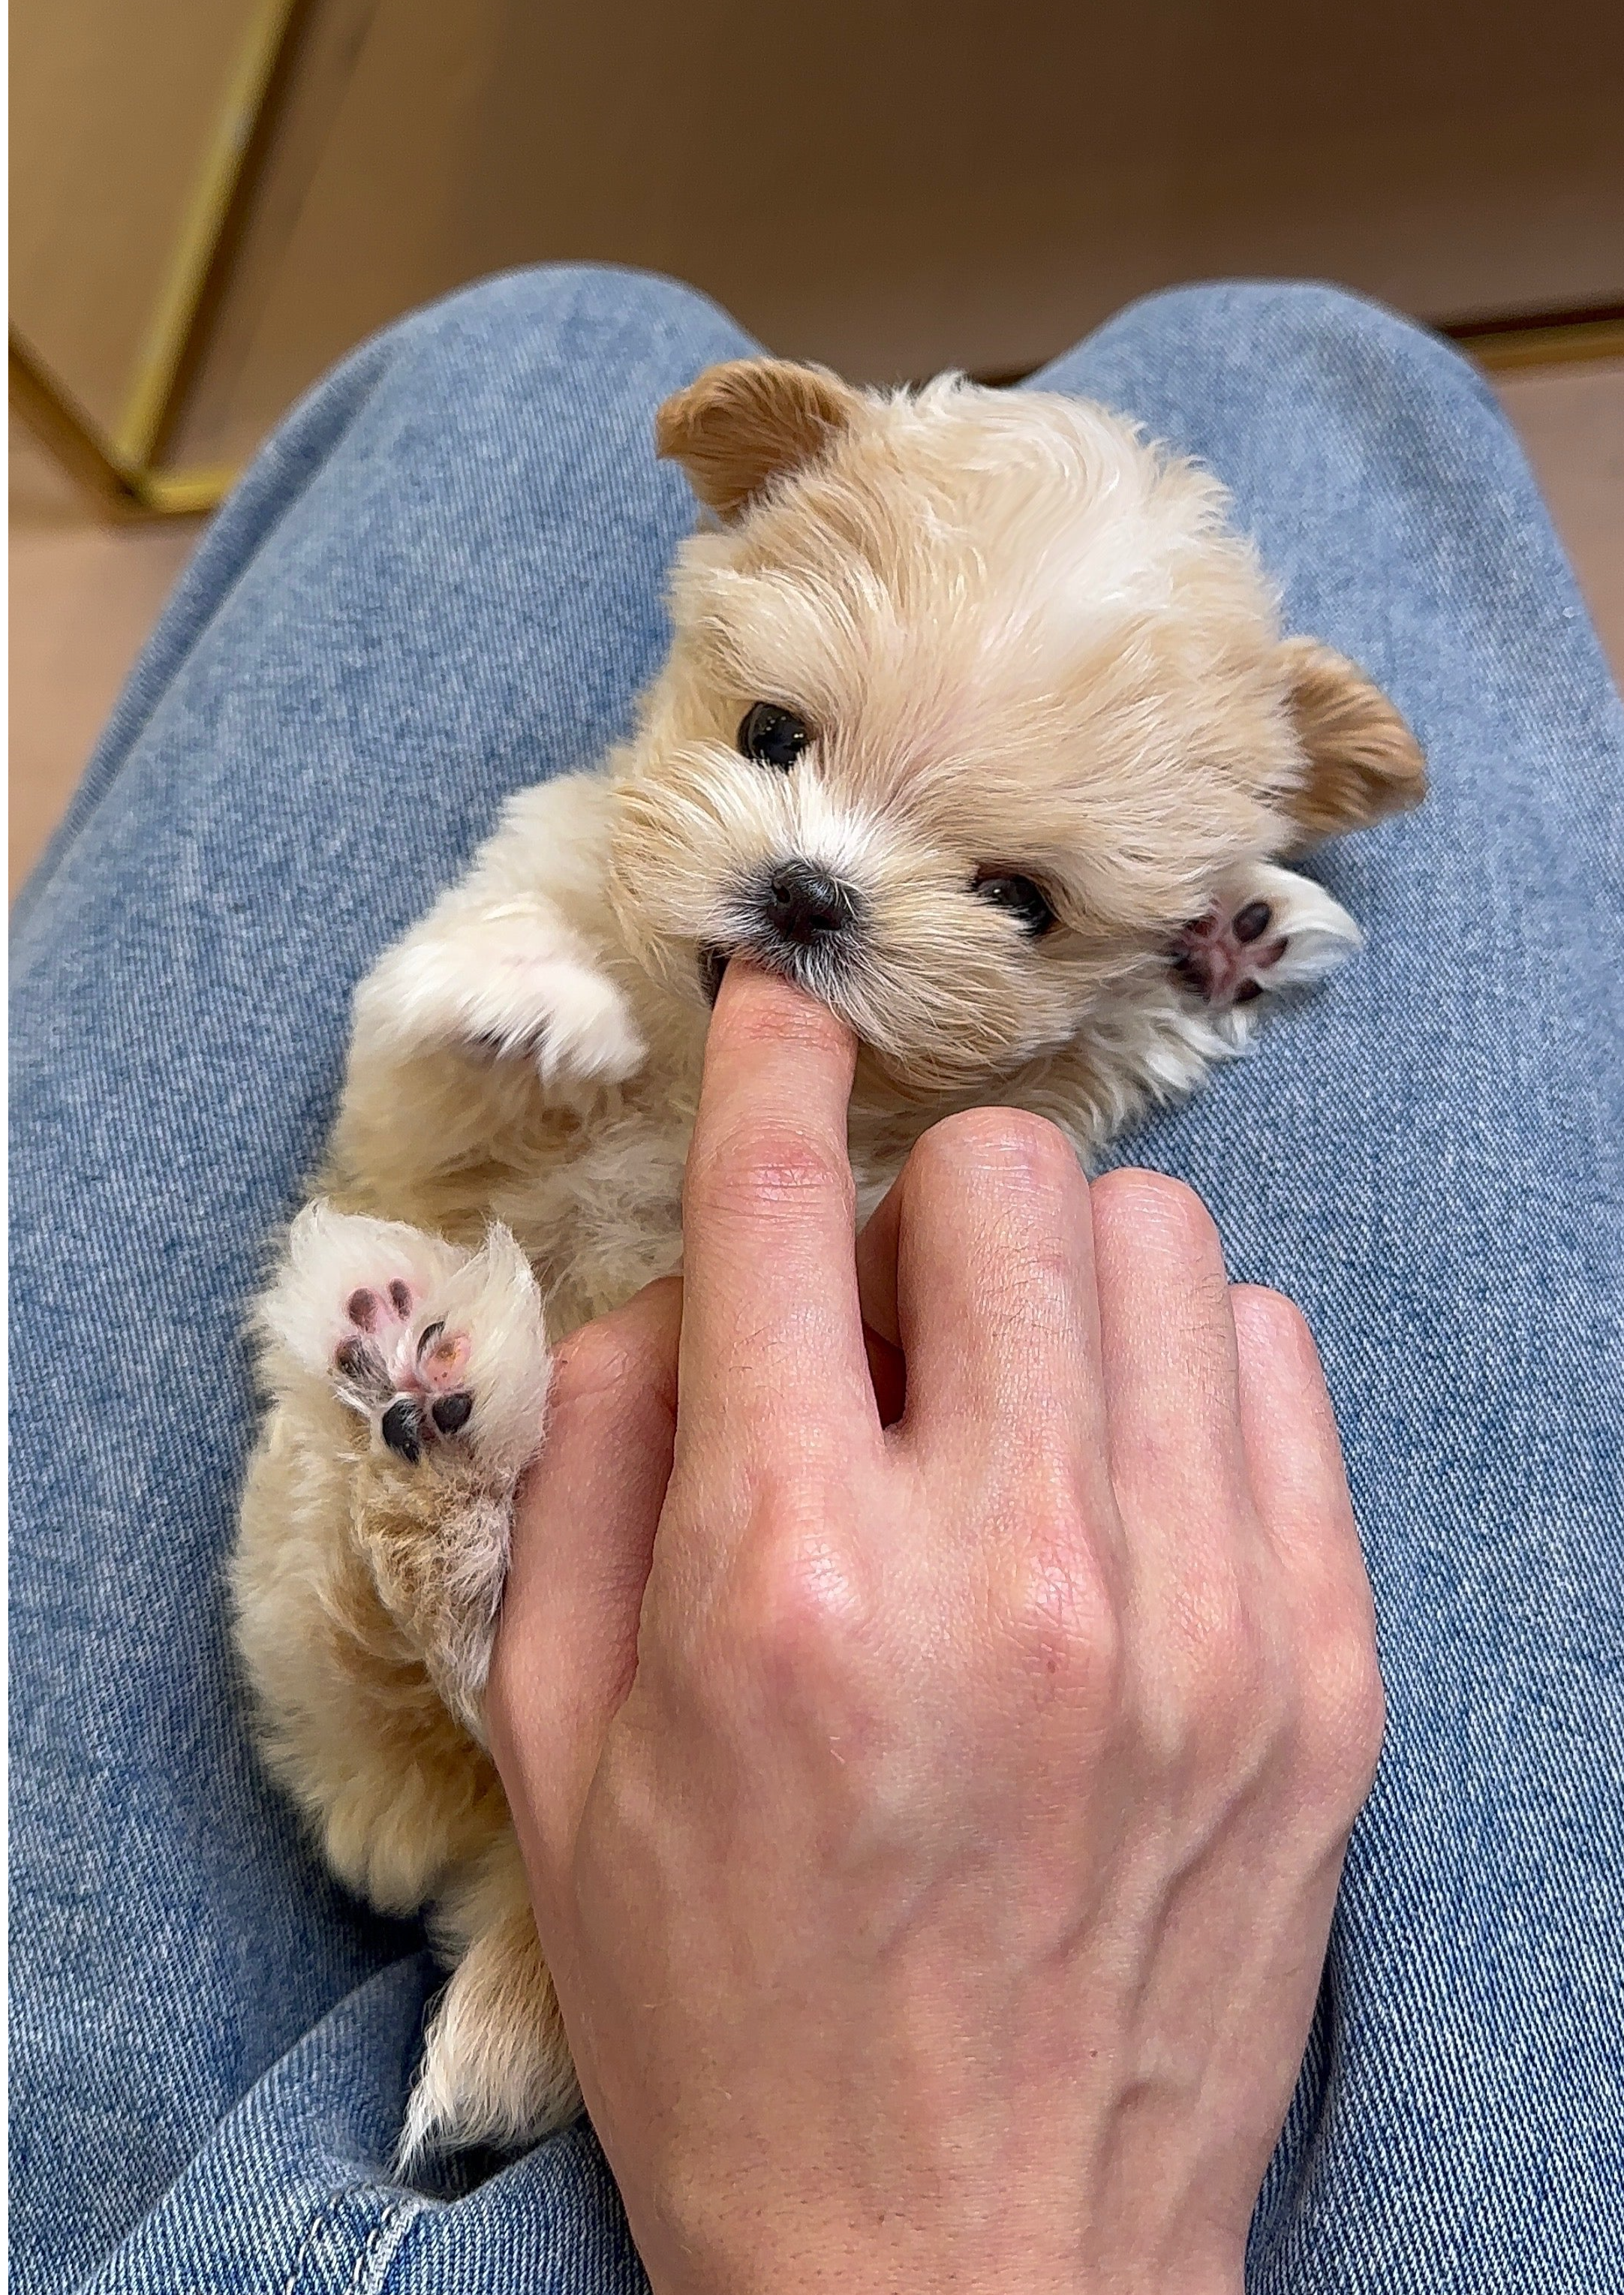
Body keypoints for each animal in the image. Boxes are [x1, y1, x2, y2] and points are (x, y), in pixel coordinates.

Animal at [228, 362, 1422, 2166]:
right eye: (770, 737)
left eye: (1019, 898)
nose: (807, 889)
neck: (696, 1056)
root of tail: (517, 1871)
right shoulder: (423, 1112)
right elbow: (436, 1058)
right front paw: (526, 1002)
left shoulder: (944, 1152)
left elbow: (1045, 1078)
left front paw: (1225, 941)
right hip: (304, 1560)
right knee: (411, 1628)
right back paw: (434, 1407)